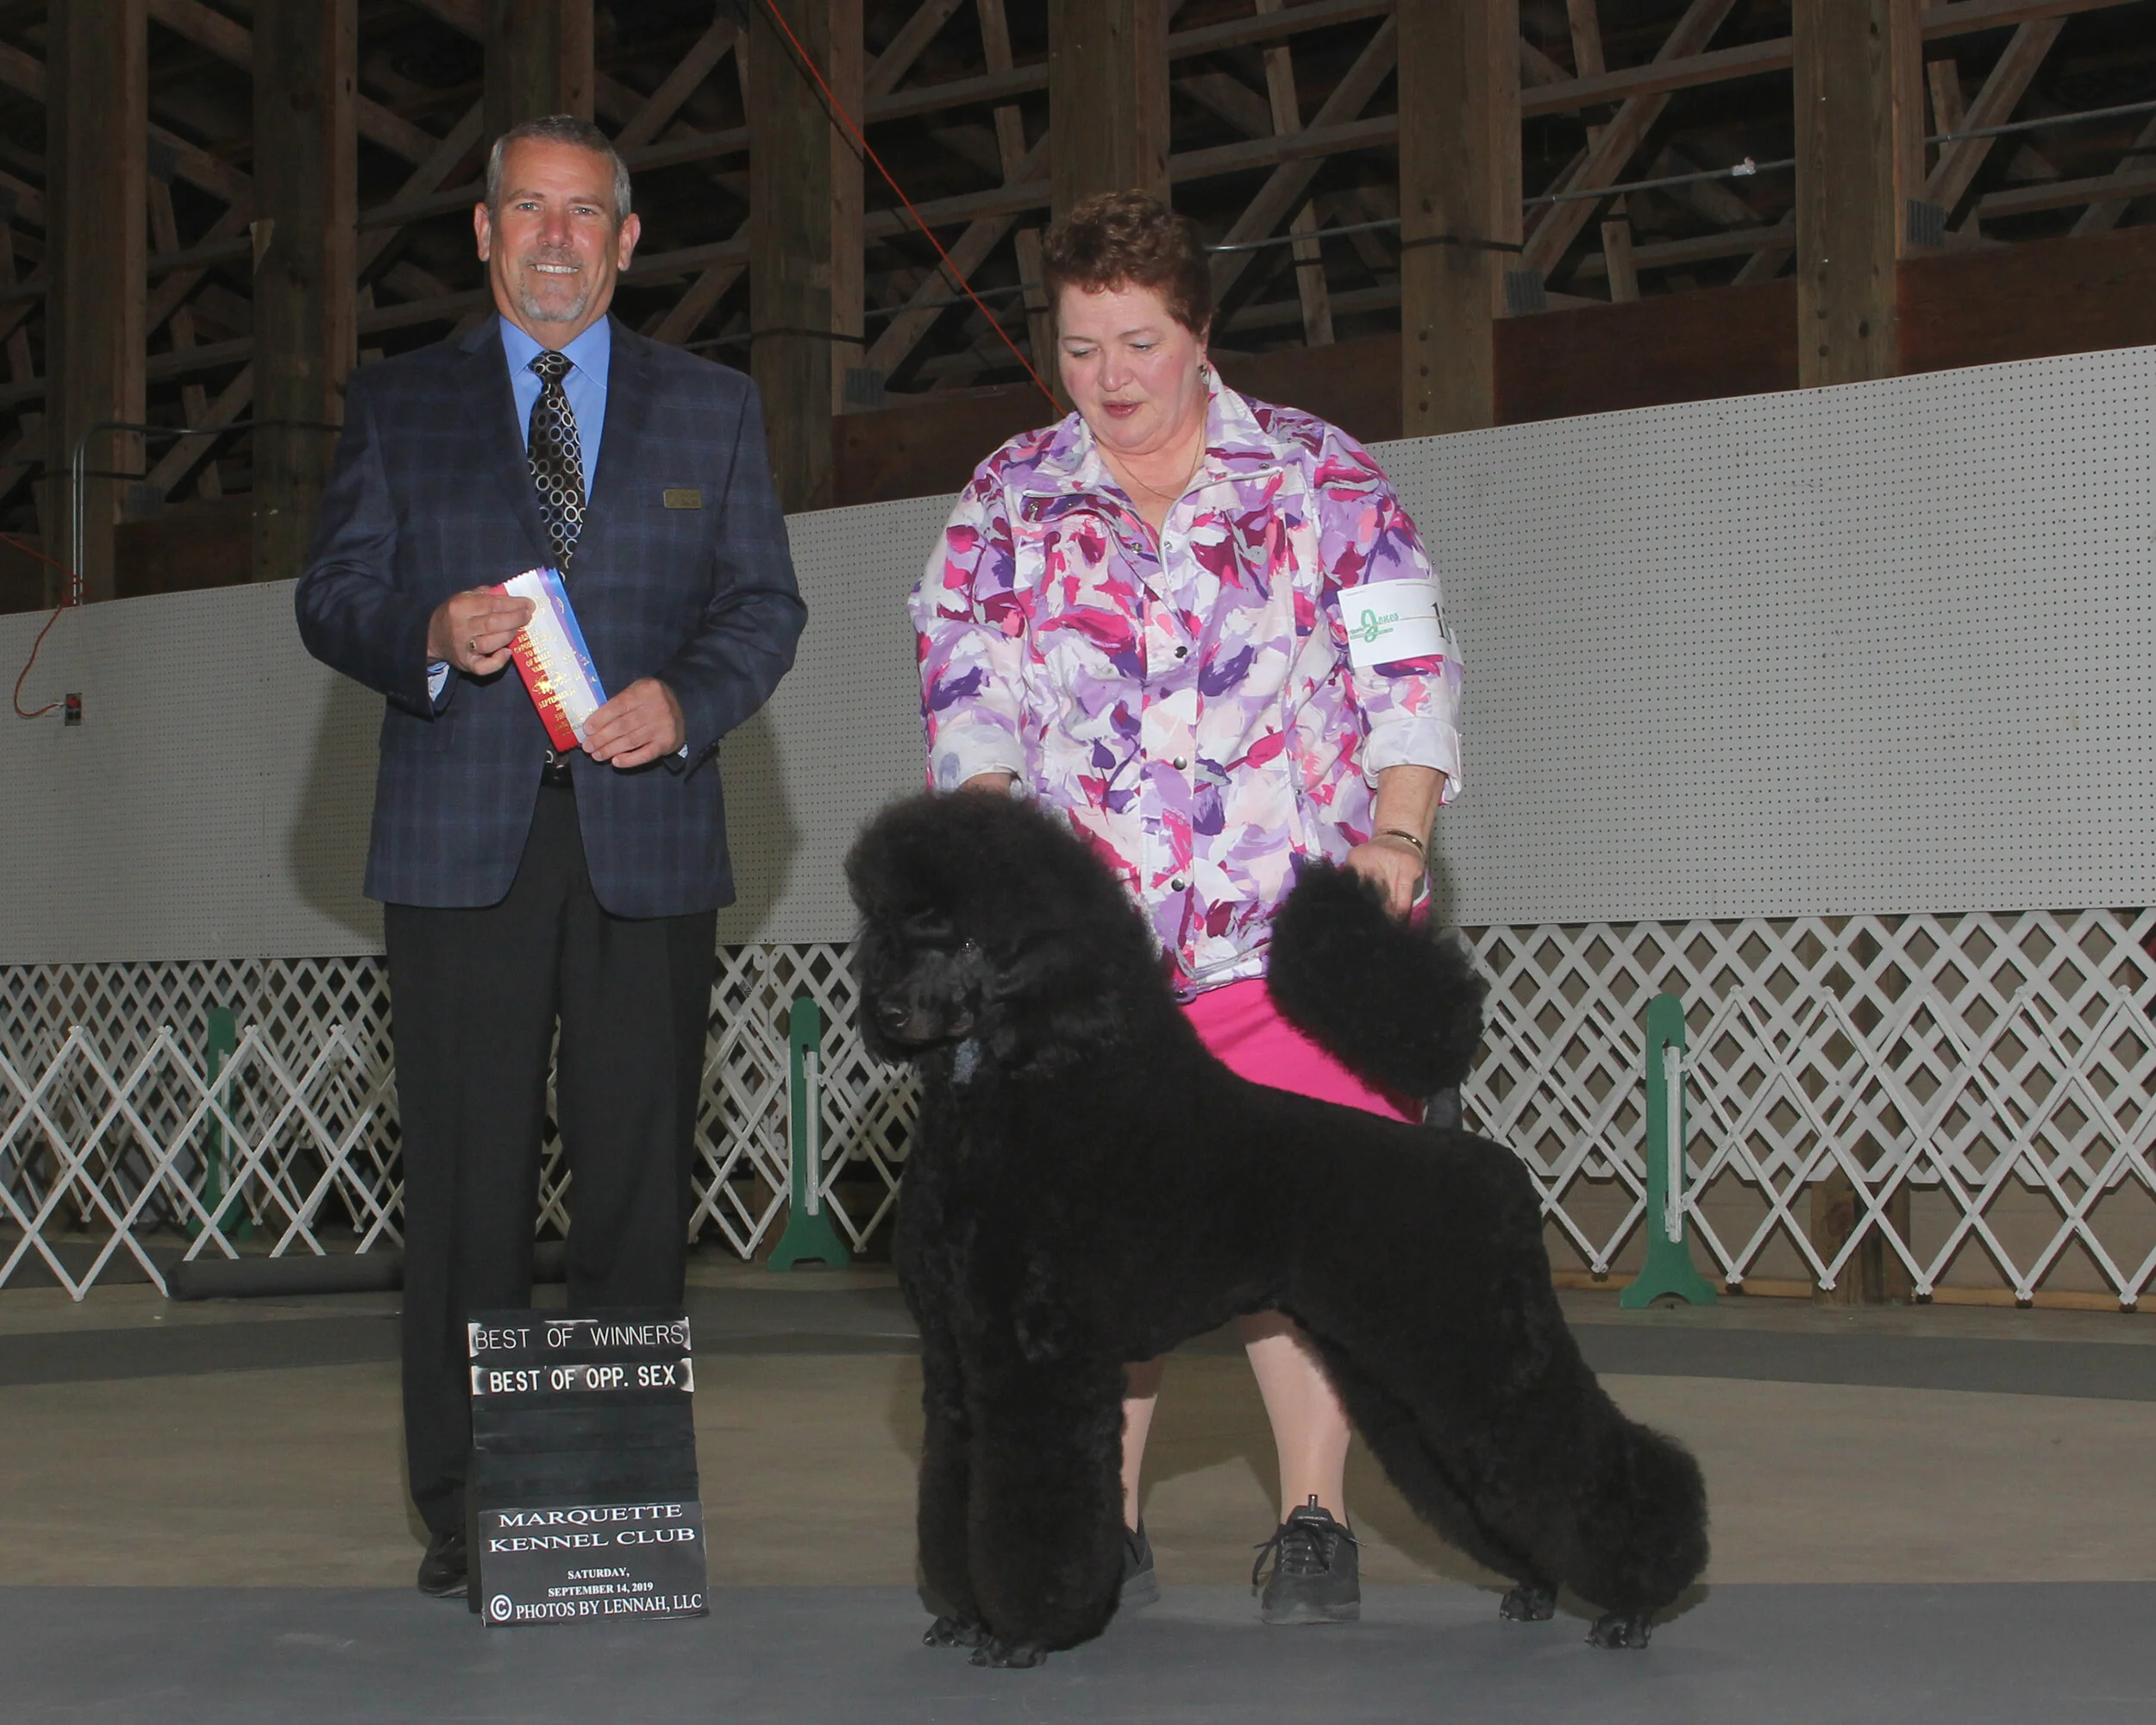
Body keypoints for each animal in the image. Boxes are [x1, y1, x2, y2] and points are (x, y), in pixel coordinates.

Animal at [847, 792, 1708, 1668]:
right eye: (895, 934)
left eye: (969, 941)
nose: (890, 1010)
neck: (1016, 1093)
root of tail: (1455, 1141)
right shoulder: (956, 1360)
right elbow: (951, 1489)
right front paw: (963, 1618)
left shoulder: (1036, 1361)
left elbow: (1029, 1501)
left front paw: (1021, 1632)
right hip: (1395, 1374)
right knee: (1483, 1477)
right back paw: (1537, 1585)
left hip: (1482, 1349)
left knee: (1585, 1459)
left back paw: (1634, 1604)